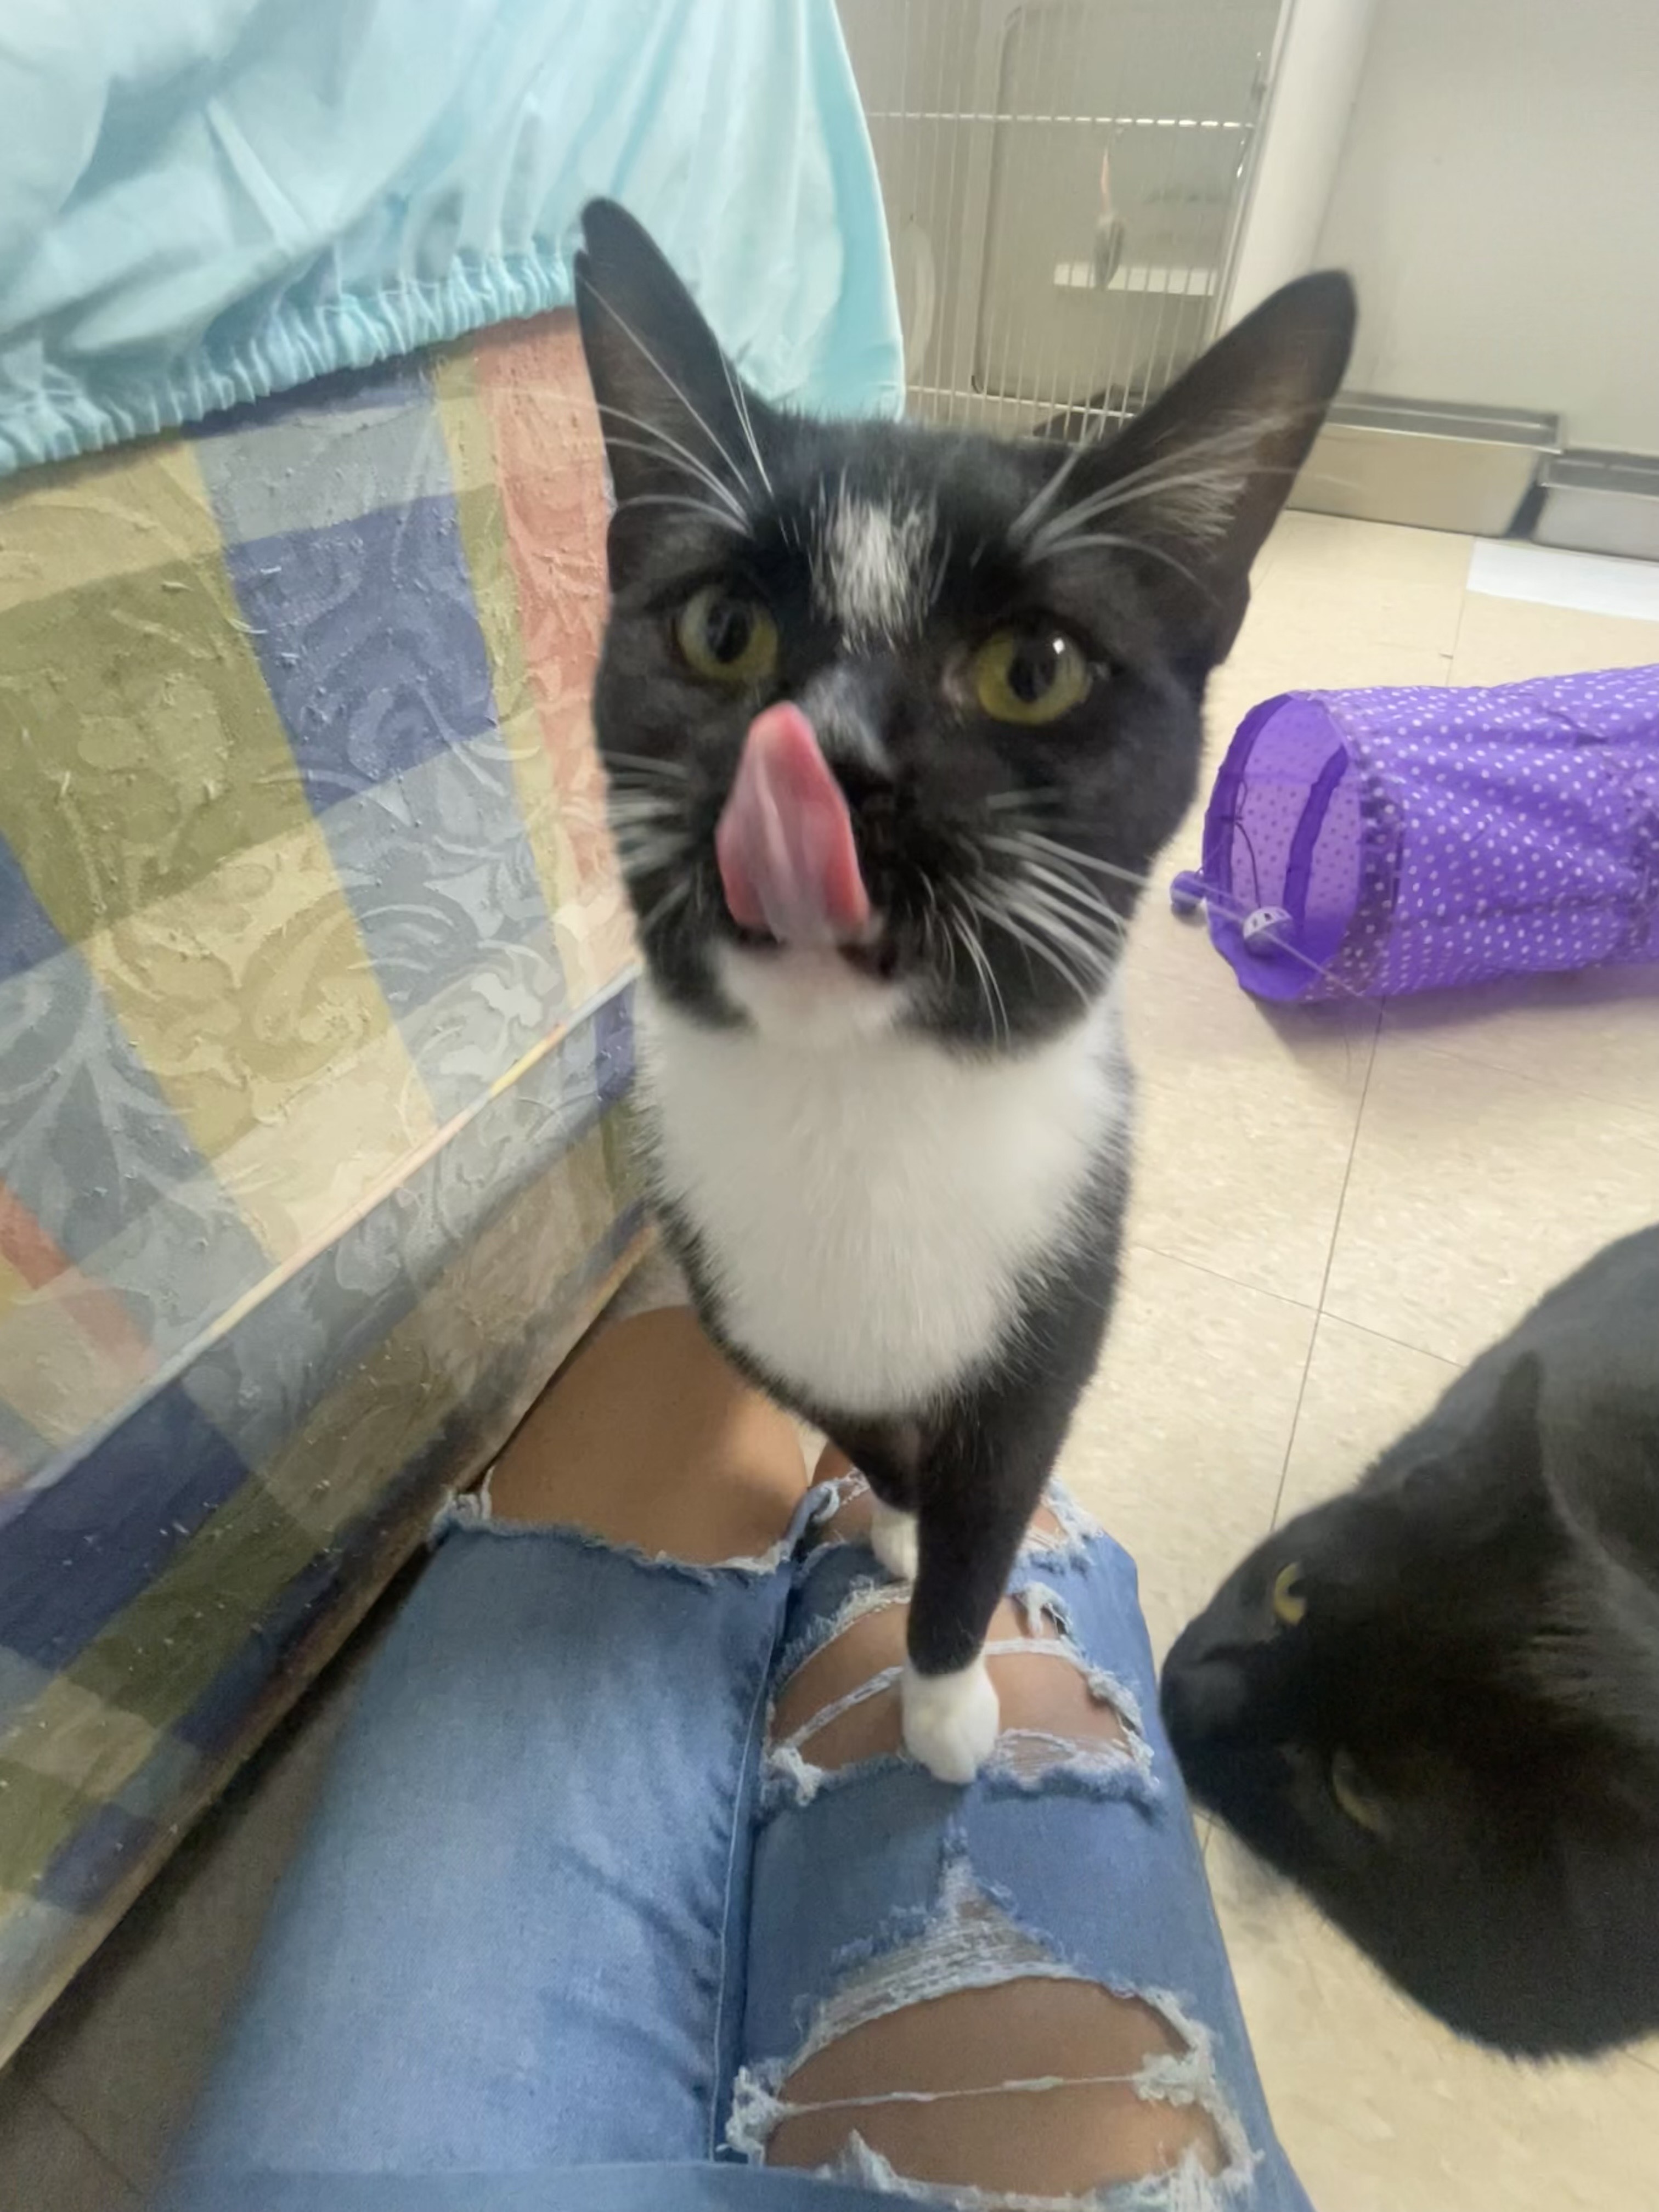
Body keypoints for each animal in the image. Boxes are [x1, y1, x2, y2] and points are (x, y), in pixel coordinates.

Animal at [574, 198, 1353, 1782]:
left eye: (1032, 669)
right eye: (723, 631)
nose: (830, 758)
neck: (856, 1103)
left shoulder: (1052, 1313)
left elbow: (989, 1519)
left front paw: (945, 1704)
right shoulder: (746, 1297)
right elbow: (873, 1436)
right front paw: (891, 1515)